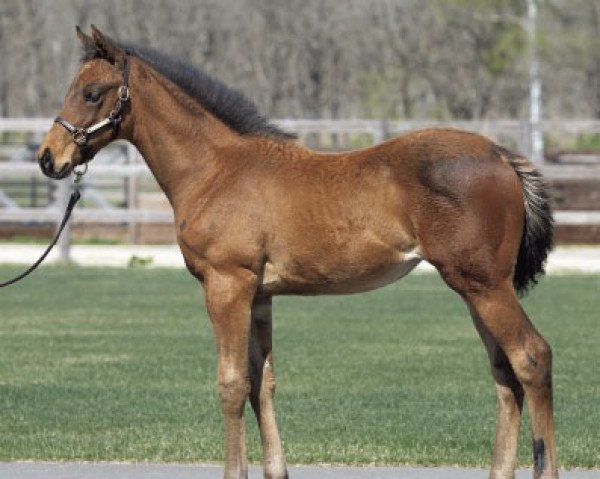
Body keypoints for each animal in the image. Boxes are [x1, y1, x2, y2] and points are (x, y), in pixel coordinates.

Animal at [38, 27, 556, 479]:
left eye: (92, 93)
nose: (49, 158)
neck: (216, 170)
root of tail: (500, 155)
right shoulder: (260, 295)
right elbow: (261, 382)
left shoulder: (227, 285)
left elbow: (231, 384)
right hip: (475, 289)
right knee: (504, 371)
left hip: (484, 285)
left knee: (532, 357)